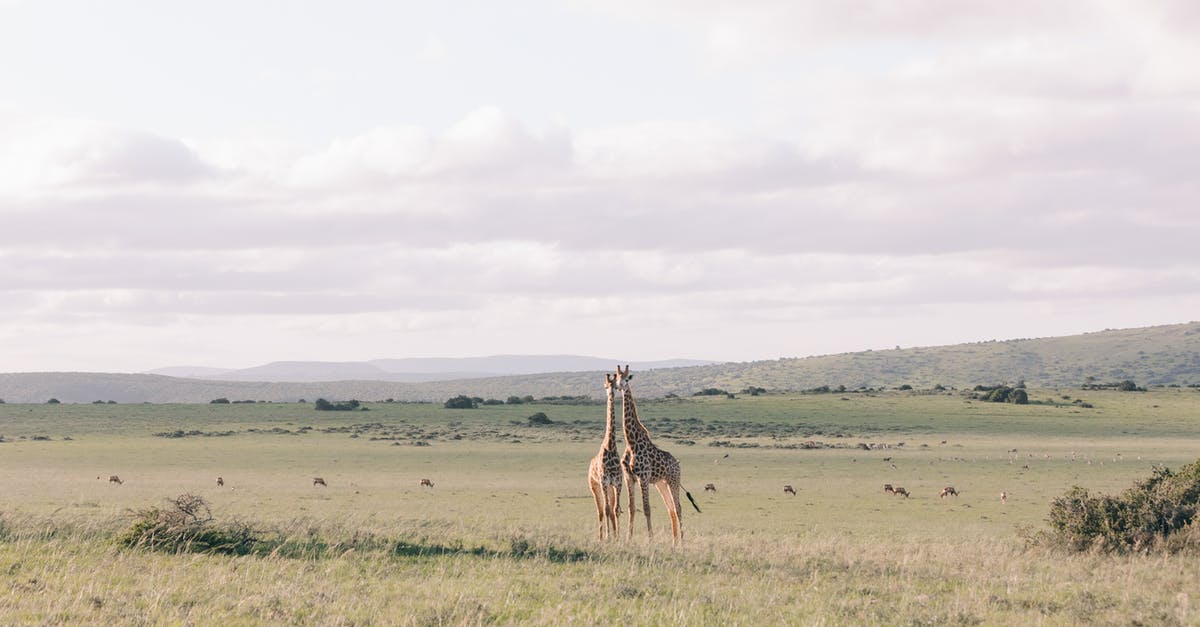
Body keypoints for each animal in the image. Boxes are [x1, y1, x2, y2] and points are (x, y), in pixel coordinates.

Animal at [614, 362, 700, 542]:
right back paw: (674, 542)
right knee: (671, 509)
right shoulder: (629, 477)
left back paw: (682, 541)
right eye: (616, 377)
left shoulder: (643, 476)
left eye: (627, 378)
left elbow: (646, 508)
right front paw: (628, 539)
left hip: (673, 480)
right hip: (661, 483)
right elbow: (632, 507)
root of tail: (677, 464)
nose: (619, 386)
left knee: (678, 507)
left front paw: (650, 539)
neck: (631, 442)